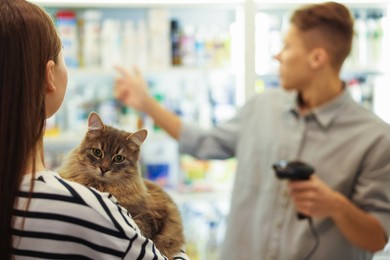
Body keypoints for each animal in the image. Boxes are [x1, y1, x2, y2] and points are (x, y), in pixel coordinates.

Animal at [58, 111, 186, 258]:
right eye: (97, 152)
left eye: (119, 158)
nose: (104, 169)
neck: (101, 186)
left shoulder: (151, 218)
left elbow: (143, 227)